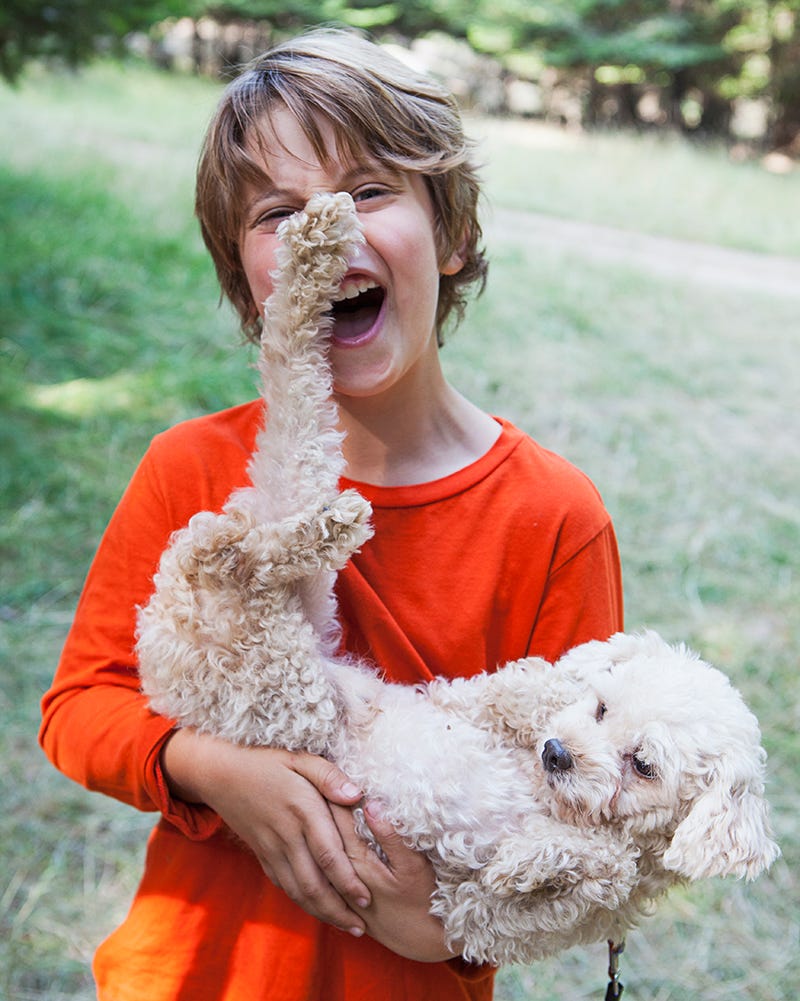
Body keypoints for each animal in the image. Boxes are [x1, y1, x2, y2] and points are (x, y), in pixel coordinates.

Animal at [139, 191, 780, 964]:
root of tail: (165, 648)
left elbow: (589, 869)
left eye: (644, 764)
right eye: (600, 709)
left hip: (266, 664)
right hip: (267, 660)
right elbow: (516, 688)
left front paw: (539, 860)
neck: (555, 798)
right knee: (238, 517)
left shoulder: (480, 914)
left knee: (264, 464)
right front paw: (546, 702)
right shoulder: (477, 697)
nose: (557, 753)